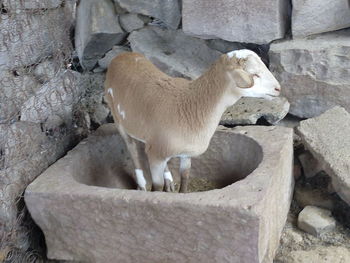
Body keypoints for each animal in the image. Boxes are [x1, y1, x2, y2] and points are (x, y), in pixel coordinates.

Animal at [104, 50, 282, 194]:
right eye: (255, 74)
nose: (278, 89)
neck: (191, 104)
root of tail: (121, 56)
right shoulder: (157, 156)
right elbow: (156, 187)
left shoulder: (184, 153)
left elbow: (185, 177)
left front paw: (180, 193)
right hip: (117, 117)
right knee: (132, 148)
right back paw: (141, 185)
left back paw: (169, 181)